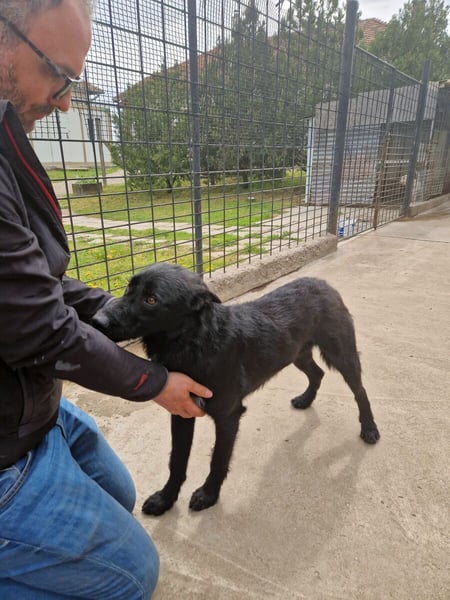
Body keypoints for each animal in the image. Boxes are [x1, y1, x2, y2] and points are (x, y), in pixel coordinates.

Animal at [92, 262, 380, 515]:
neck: (194, 342)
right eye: (128, 288)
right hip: (296, 353)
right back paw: (306, 400)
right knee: (317, 374)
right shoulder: (182, 412)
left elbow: (218, 460)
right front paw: (166, 499)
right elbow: (177, 461)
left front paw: (208, 495)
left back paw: (369, 428)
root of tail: (323, 283)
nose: (97, 320)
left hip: (341, 353)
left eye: (151, 300)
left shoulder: (228, 416)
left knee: (361, 391)